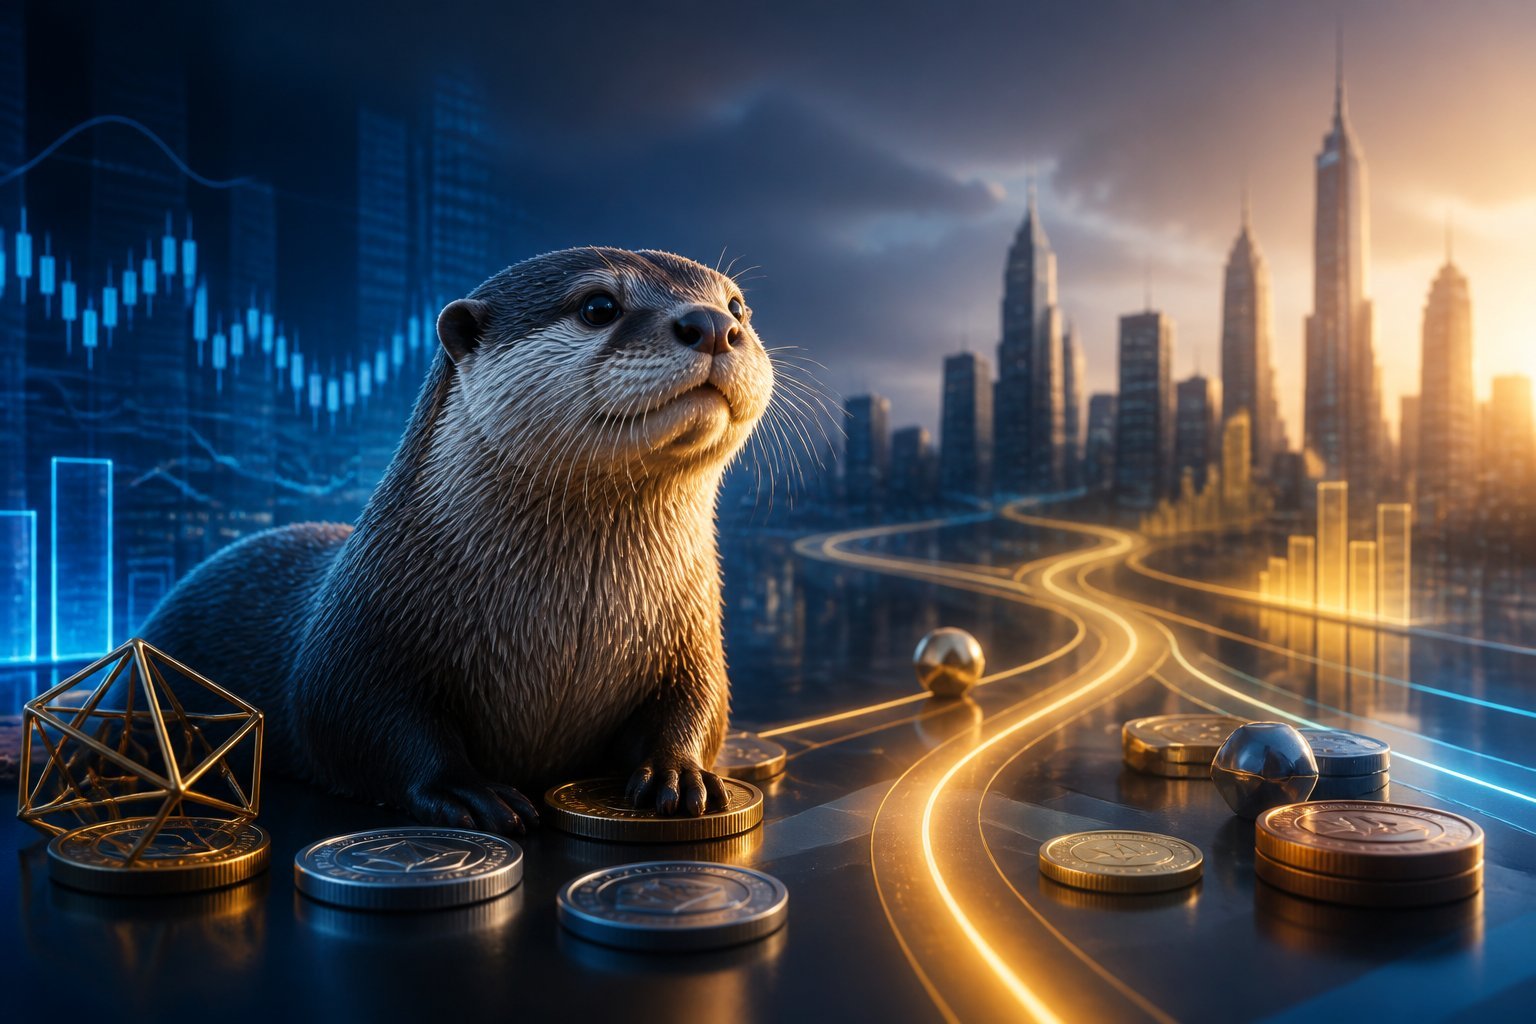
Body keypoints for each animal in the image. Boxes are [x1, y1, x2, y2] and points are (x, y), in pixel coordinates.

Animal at [141, 247, 774, 834]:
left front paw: (679, 772)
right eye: (598, 306)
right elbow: (355, 719)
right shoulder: (357, 637)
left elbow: (701, 704)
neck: (567, 632)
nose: (713, 324)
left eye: (737, 305)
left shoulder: (692, 639)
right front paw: (466, 790)